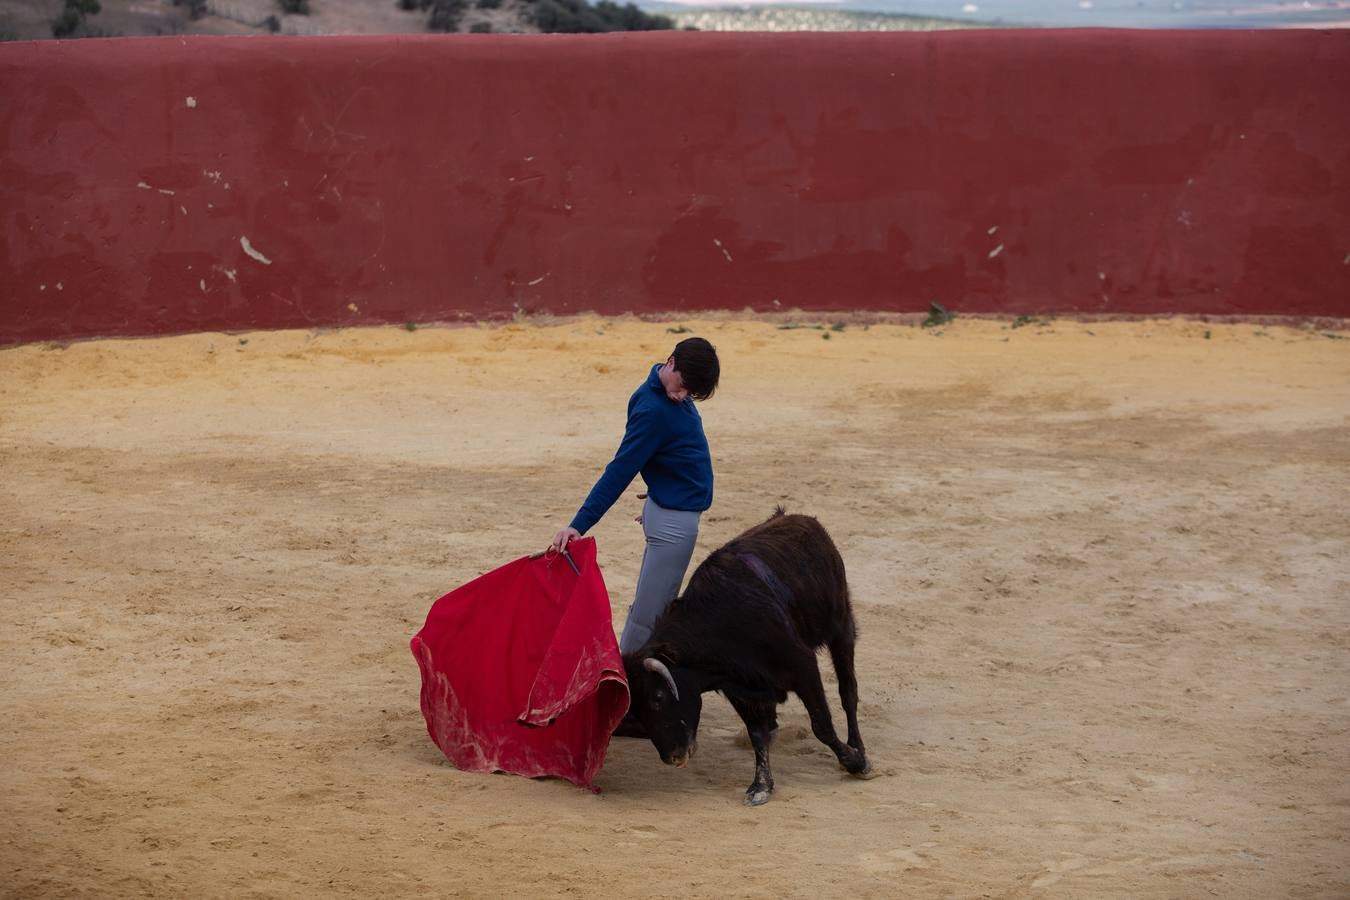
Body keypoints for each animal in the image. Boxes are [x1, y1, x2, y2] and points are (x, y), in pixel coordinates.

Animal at [623, 507, 874, 809]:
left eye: (658, 698)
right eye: (635, 708)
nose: (672, 757)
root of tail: (801, 519)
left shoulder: (802, 665)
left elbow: (821, 724)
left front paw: (854, 762)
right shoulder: (740, 689)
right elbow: (757, 734)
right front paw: (761, 785)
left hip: (841, 627)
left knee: (848, 692)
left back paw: (858, 747)